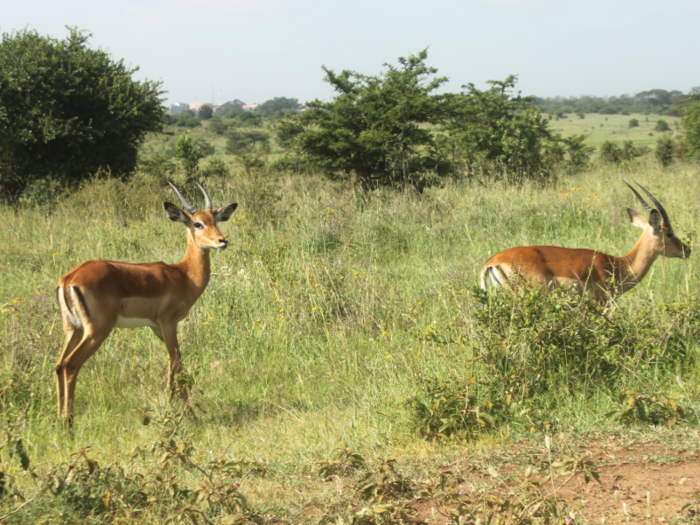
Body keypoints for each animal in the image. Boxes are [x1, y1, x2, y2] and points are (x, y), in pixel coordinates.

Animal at [54, 182, 235, 424]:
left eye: (216, 220)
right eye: (198, 223)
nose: (222, 241)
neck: (183, 275)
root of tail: (69, 279)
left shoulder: (155, 327)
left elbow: (173, 360)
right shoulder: (168, 322)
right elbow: (176, 360)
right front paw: (185, 411)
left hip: (73, 329)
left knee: (59, 365)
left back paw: (59, 420)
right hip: (97, 330)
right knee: (70, 365)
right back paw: (69, 423)